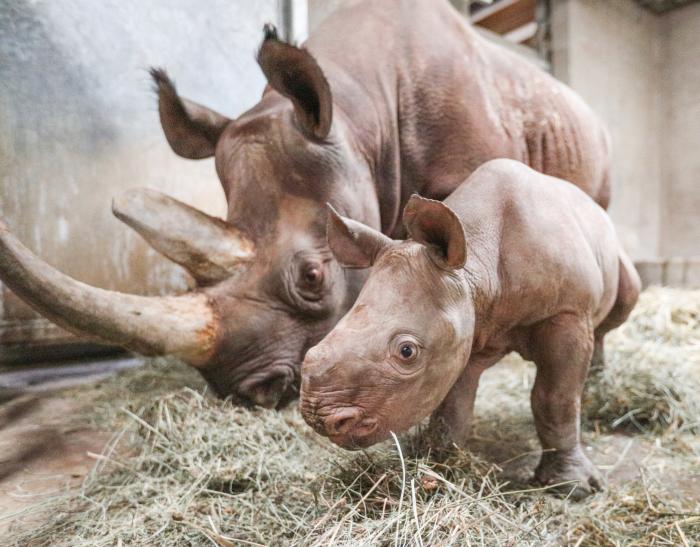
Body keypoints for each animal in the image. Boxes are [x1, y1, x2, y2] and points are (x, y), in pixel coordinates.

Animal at [300, 157, 640, 496]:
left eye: (407, 351)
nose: (319, 418)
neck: (475, 264)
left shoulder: (567, 312)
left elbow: (556, 398)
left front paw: (572, 487)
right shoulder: (464, 328)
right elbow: (452, 405)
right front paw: (440, 465)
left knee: (623, 301)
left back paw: (595, 382)